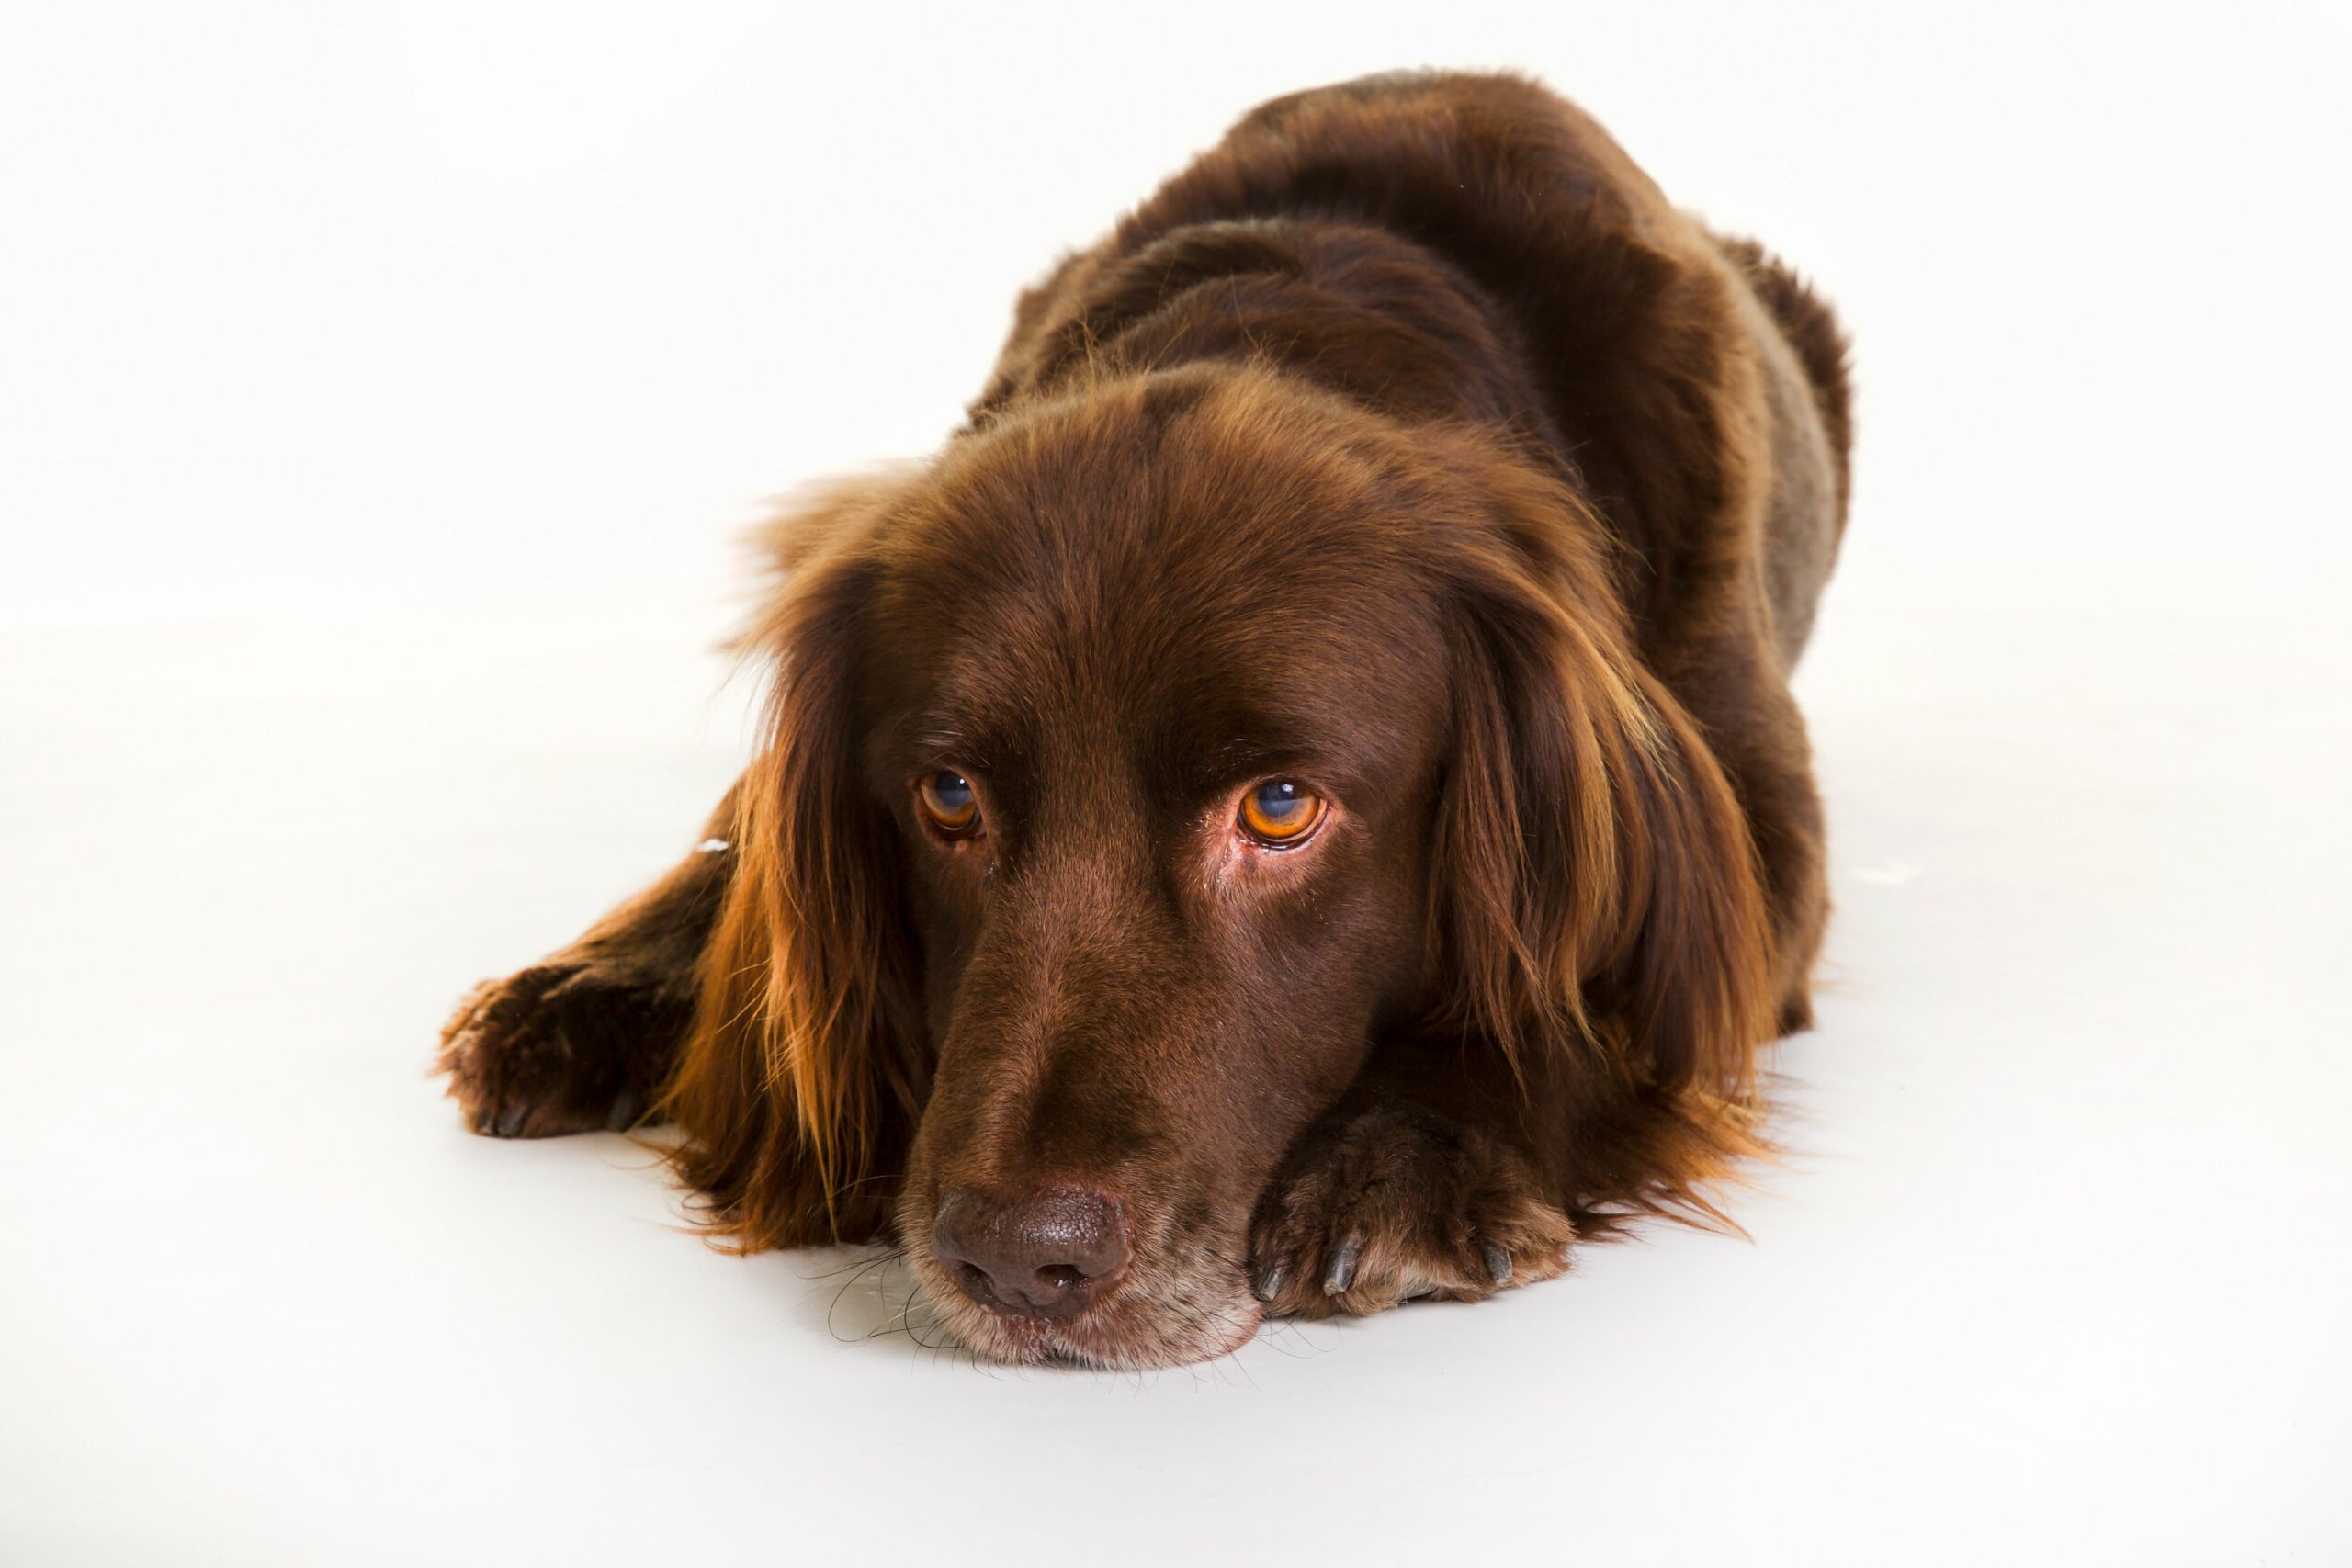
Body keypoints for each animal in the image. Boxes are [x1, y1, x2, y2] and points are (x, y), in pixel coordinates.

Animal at [433, 70, 1844, 1372]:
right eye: (949, 797)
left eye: (1281, 807)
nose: (1016, 1256)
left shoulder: (1756, 849)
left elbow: (1581, 992)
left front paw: (1411, 1147)